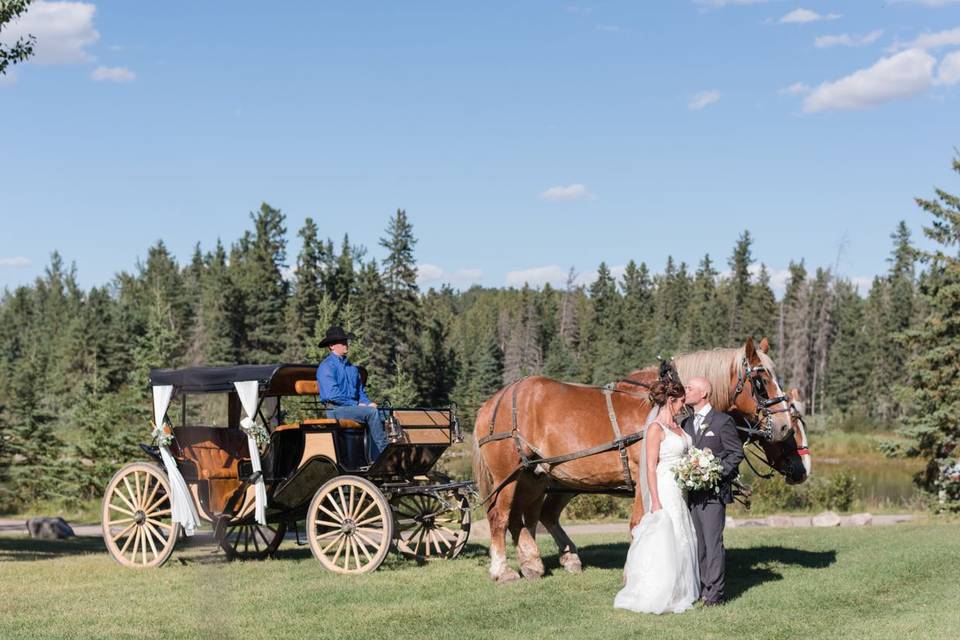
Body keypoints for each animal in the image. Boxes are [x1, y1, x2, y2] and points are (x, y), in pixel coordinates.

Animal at [470, 338, 804, 584]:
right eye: (760, 380)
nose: (783, 426)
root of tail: (493, 400)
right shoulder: (644, 473)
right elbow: (639, 523)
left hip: (536, 476)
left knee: (525, 517)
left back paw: (534, 563)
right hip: (508, 475)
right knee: (500, 517)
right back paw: (502, 570)